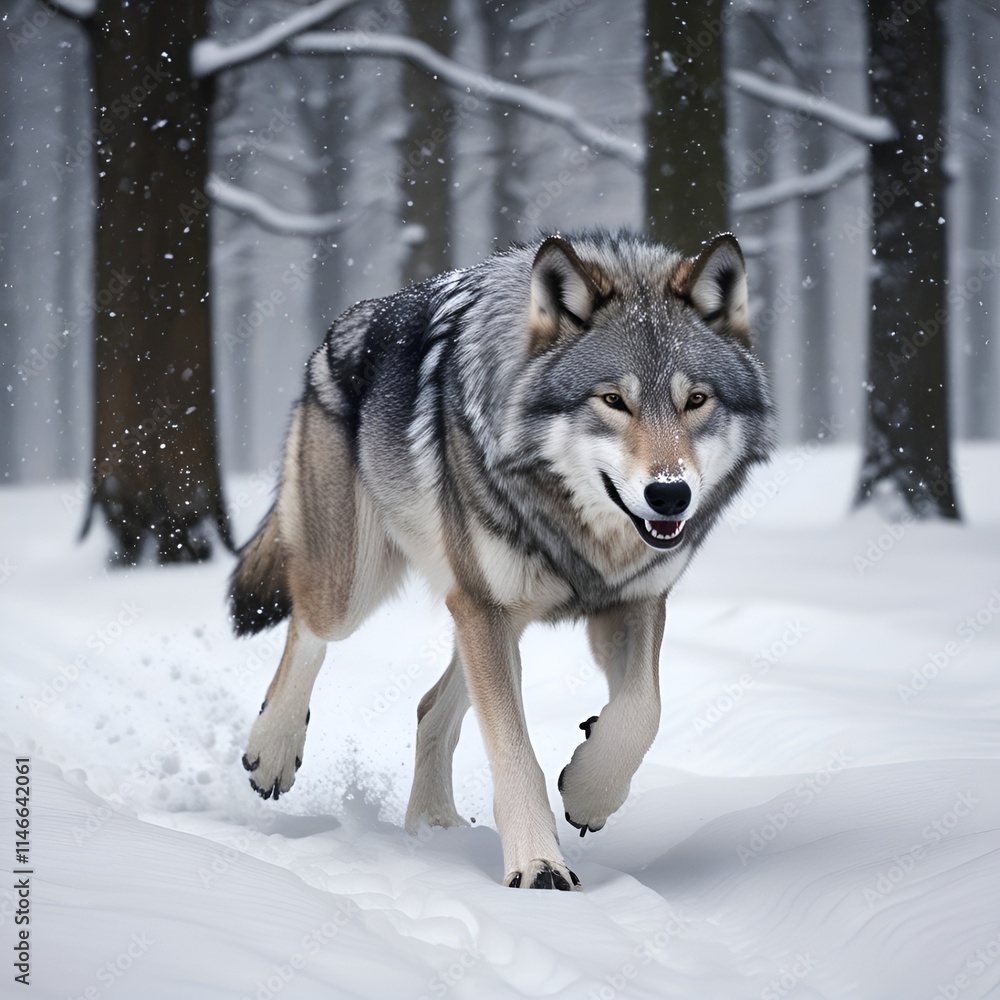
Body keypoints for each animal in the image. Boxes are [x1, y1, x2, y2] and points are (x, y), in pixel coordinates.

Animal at [229, 230, 774, 890]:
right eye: (613, 401)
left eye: (696, 399)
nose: (669, 494)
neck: (578, 533)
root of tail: (341, 326)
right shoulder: (484, 607)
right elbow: (515, 751)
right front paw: (539, 865)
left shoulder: (634, 602)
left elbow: (644, 711)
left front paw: (587, 791)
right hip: (365, 592)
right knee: (308, 628)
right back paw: (273, 751)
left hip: (486, 618)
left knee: (428, 707)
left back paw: (434, 830)